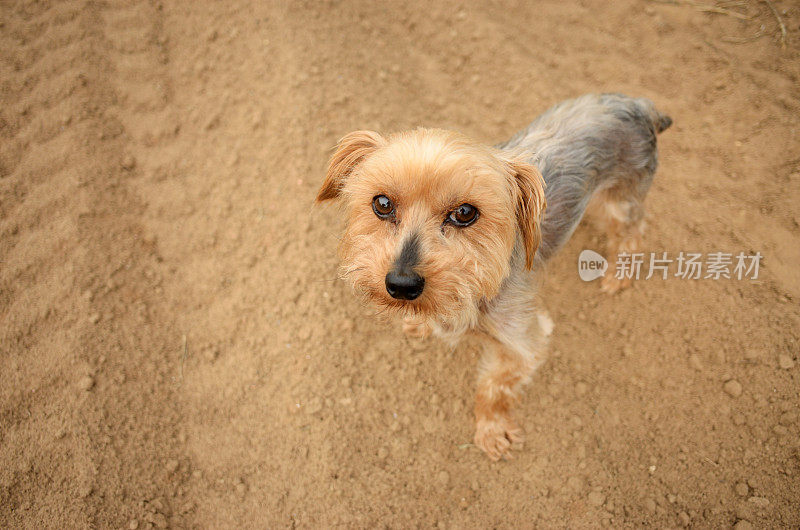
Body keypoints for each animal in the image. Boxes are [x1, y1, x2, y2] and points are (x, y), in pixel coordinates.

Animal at [316, 93, 672, 456]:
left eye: (464, 213)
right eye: (383, 203)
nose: (401, 285)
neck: (470, 289)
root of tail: (641, 106)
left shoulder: (524, 339)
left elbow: (494, 387)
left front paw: (491, 430)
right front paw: (419, 322)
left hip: (621, 201)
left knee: (632, 230)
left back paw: (619, 274)